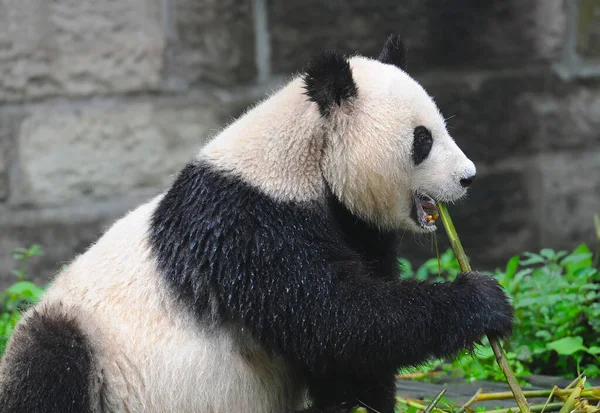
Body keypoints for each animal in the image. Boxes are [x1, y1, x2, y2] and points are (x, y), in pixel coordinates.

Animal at [1, 36, 510, 412]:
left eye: (443, 126)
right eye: (422, 140)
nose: (468, 177)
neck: (307, 156)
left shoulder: (352, 225)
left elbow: (350, 354)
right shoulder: (247, 226)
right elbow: (334, 316)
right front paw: (482, 300)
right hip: (92, 343)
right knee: (49, 358)